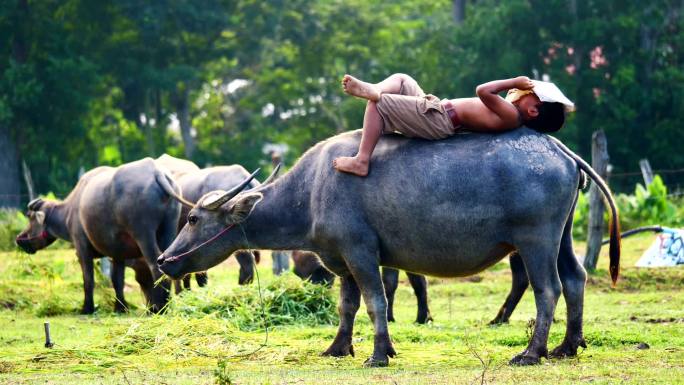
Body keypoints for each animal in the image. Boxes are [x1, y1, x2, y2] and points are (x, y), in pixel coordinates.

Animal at [18, 158, 184, 312]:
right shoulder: (117, 254)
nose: (19, 239)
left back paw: (159, 308)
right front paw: (120, 307)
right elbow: (117, 280)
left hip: (143, 234)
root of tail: (156, 172)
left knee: (155, 265)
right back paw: (166, 304)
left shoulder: (82, 249)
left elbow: (88, 279)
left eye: (30, 217)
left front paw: (87, 307)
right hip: (169, 228)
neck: (70, 210)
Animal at [159, 129, 620, 366]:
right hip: (562, 237)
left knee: (548, 289)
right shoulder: (341, 261)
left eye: (193, 219)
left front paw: (379, 353)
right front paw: (338, 348)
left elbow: (376, 302)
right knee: (576, 280)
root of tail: (557, 149)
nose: (164, 260)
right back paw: (568, 345)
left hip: (535, 239)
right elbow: (346, 306)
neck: (311, 192)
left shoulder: (361, 253)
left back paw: (532, 352)